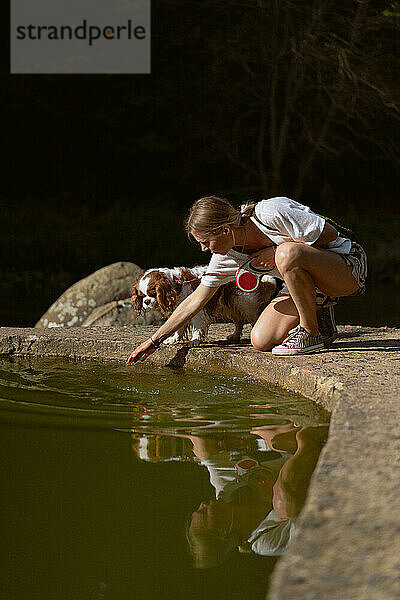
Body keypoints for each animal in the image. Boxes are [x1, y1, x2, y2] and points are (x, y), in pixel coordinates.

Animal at [131, 266, 278, 344]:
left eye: (153, 294)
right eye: (141, 296)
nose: (147, 302)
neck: (176, 286)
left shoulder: (198, 311)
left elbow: (197, 327)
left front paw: (195, 340)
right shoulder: (181, 311)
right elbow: (179, 328)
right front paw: (173, 339)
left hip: (245, 304)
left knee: (253, 319)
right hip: (233, 305)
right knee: (239, 322)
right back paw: (234, 336)